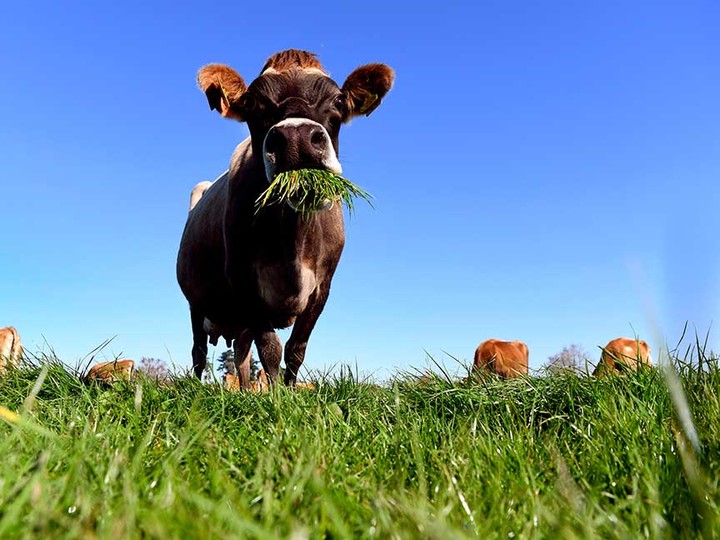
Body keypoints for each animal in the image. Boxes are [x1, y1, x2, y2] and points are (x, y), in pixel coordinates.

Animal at [178, 48, 396, 388]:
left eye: (337, 100)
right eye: (253, 103)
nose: (296, 138)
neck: (291, 243)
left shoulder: (322, 286)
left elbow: (296, 349)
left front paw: (291, 391)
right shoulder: (244, 281)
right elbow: (270, 348)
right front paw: (277, 395)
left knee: (241, 354)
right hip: (196, 303)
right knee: (198, 352)